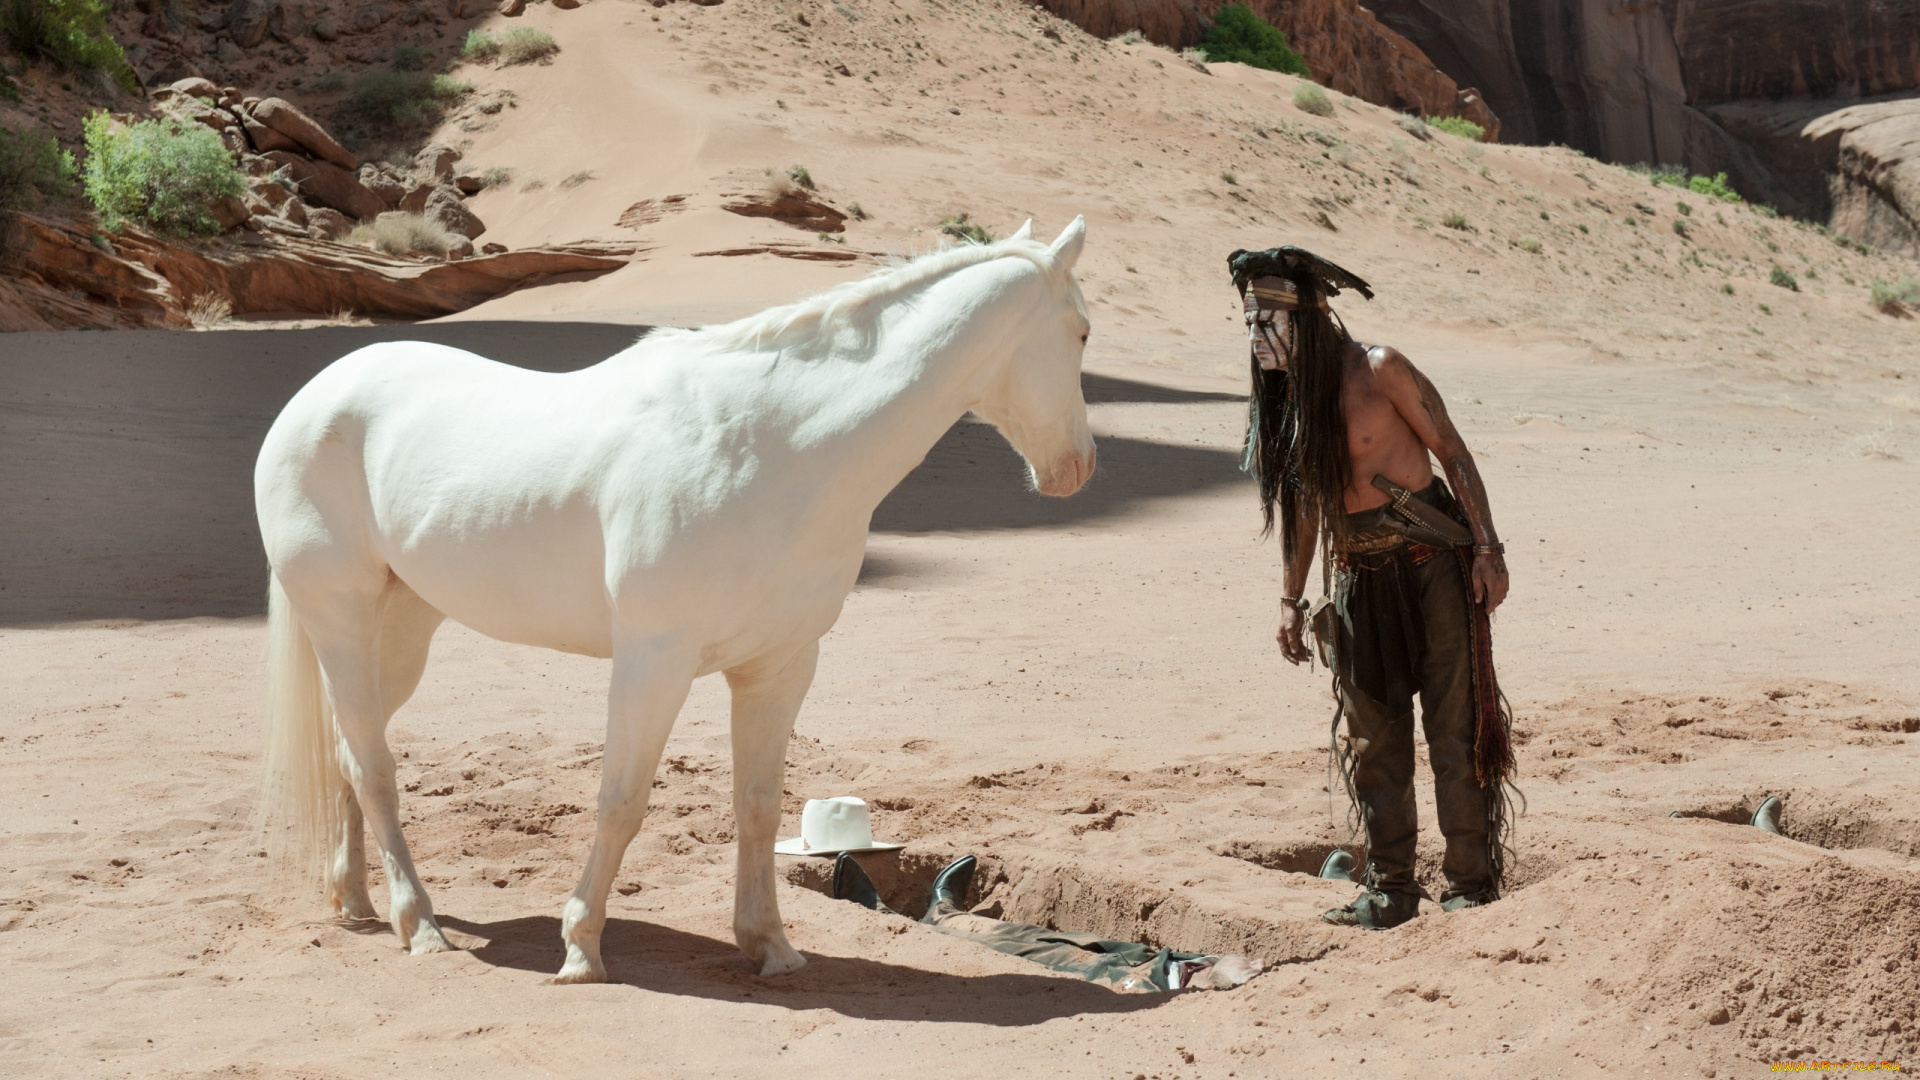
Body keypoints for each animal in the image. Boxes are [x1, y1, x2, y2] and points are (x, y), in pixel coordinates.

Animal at [254, 217, 1095, 982]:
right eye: (1082, 332)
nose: (1080, 468)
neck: (779, 448)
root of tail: (316, 397)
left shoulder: (780, 665)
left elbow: (758, 804)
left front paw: (769, 945)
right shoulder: (653, 663)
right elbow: (622, 800)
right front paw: (581, 948)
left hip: (401, 631)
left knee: (350, 753)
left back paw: (358, 901)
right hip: (342, 620)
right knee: (373, 766)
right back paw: (419, 924)